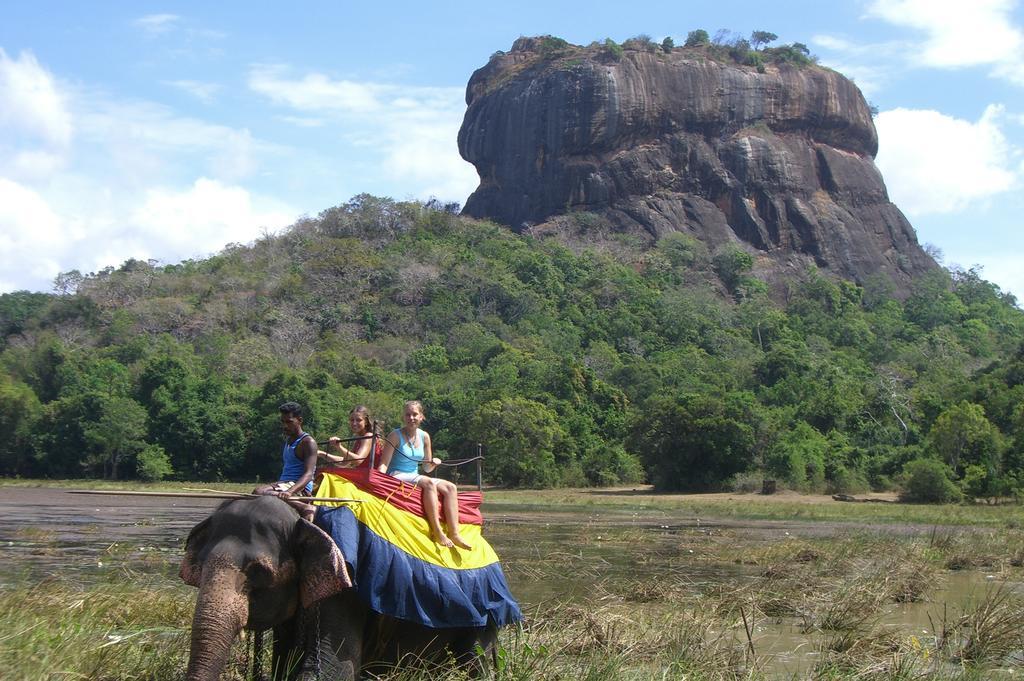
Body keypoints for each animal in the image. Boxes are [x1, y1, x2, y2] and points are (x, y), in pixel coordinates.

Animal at [181, 493, 499, 679]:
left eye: (259, 572)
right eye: (201, 566)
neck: (303, 515)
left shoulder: (346, 588)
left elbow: (333, 669)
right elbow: (285, 666)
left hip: (483, 619)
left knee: (476, 662)